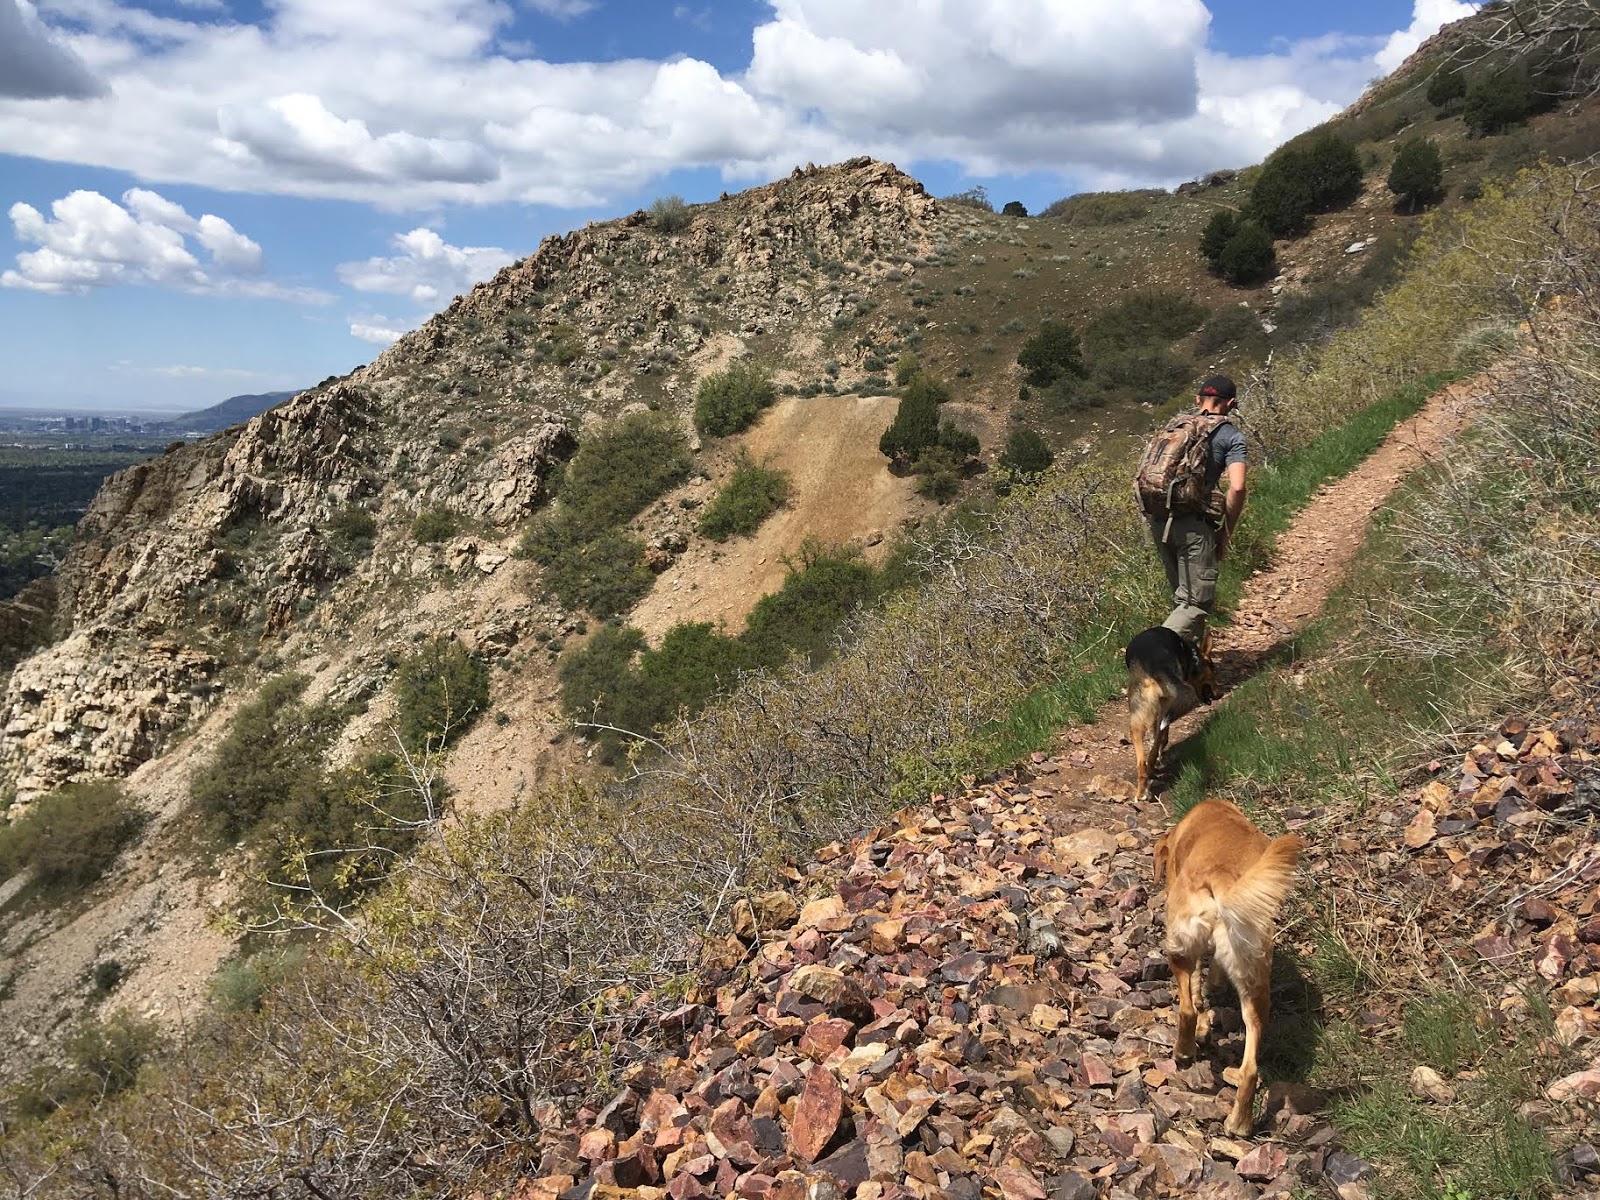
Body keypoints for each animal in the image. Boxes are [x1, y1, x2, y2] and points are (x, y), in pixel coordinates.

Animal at [1120, 624, 1216, 803]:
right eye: (1214, 669)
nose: (1219, 694)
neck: (1191, 654)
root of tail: (1154, 669)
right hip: (1162, 711)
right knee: (1156, 744)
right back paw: (1153, 769)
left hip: (1136, 722)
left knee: (1141, 764)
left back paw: (1142, 791)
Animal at [1158, 800, 1305, 1139]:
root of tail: (1222, 879)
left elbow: (1196, 992)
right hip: (1256, 987)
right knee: (1250, 1068)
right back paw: (1240, 1124)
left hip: (1178, 949)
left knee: (1187, 1009)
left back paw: (1183, 1052)